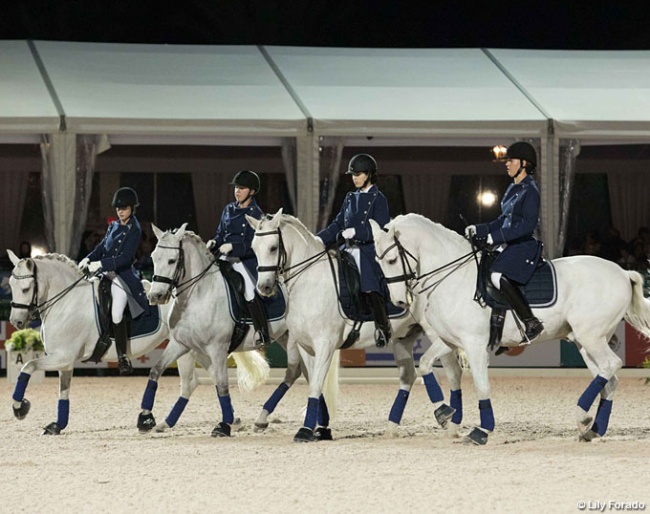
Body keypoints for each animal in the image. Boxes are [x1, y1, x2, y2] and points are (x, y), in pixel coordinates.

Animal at [6, 248, 251, 432]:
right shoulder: (64, 360)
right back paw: (229, 420)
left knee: (194, 382)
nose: (16, 321)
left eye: (25, 288)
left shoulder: (62, 357)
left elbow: (27, 367)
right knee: (211, 379)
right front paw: (58, 425)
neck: (67, 301)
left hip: (189, 348)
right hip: (197, 347)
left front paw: (20, 407)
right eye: (10, 285)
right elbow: (63, 392)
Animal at [145, 222, 340, 434]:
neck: (198, 294)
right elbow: (155, 370)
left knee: (306, 373)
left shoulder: (218, 348)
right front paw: (146, 418)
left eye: (172, 260)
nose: (155, 296)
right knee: (300, 373)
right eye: (153, 257)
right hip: (288, 337)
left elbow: (222, 385)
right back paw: (274, 419)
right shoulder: (181, 344)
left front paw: (224, 425)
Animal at [246, 208, 464, 440]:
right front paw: (321, 429)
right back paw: (393, 427)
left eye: (273, 247)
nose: (264, 287)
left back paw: (448, 417)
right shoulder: (306, 346)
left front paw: (305, 430)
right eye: (254, 248)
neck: (310, 281)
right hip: (404, 337)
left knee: (452, 372)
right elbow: (314, 384)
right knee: (409, 375)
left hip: (436, 333)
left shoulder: (324, 345)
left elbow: (315, 386)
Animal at [368, 214, 648, 442]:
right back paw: (592, 429)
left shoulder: (474, 344)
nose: (399, 301)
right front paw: (443, 411)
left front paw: (481, 431)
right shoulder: (450, 340)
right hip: (586, 342)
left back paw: (582, 414)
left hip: (591, 337)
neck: (453, 277)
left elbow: (482, 386)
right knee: (608, 380)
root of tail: (623, 272)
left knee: (612, 365)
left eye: (392, 259)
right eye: (377, 262)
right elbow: (425, 363)